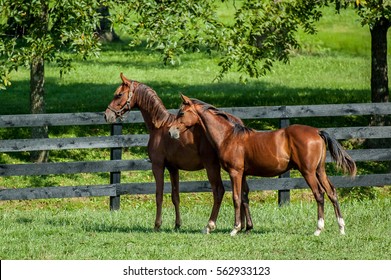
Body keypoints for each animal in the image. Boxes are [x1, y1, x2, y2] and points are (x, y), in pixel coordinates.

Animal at [104, 73, 253, 233]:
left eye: (119, 94)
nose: (107, 115)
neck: (159, 126)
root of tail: (236, 123)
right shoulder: (173, 168)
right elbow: (175, 196)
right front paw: (177, 224)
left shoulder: (158, 166)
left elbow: (159, 195)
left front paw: (157, 224)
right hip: (237, 171)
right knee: (243, 193)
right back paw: (245, 226)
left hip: (212, 167)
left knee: (219, 191)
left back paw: (211, 225)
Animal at [170, 94, 356, 236]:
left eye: (181, 113)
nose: (171, 131)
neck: (229, 136)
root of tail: (317, 132)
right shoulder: (244, 174)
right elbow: (244, 197)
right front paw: (247, 228)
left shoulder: (235, 172)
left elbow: (236, 198)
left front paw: (235, 229)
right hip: (320, 170)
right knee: (332, 192)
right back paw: (341, 228)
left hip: (308, 172)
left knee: (319, 194)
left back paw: (318, 229)